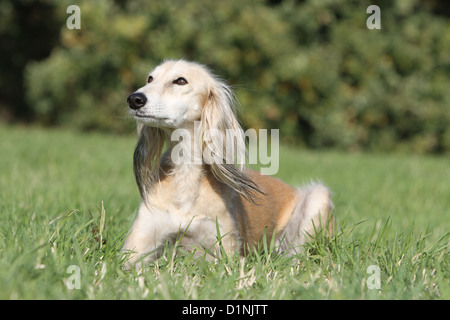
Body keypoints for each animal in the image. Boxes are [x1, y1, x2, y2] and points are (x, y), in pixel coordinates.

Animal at [123, 58, 334, 266]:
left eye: (180, 81)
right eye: (150, 78)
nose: (134, 99)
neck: (186, 174)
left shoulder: (223, 254)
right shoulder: (136, 248)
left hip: (318, 197)